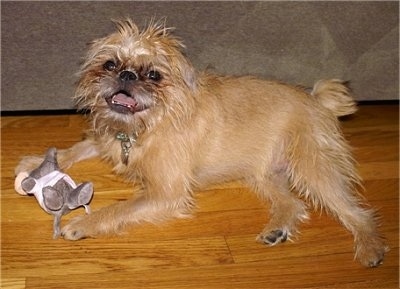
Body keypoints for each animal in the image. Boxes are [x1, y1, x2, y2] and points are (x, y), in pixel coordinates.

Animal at [15, 18, 388, 266]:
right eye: (110, 64)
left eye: (154, 75)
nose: (126, 75)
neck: (148, 124)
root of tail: (317, 99)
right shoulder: (107, 138)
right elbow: (77, 148)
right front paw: (36, 163)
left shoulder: (165, 193)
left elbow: (118, 208)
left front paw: (82, 223)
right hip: (265, 174)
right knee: (293, 204)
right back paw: (277, 228)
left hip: (312, 168)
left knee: (356, 210)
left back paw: (369, 247)